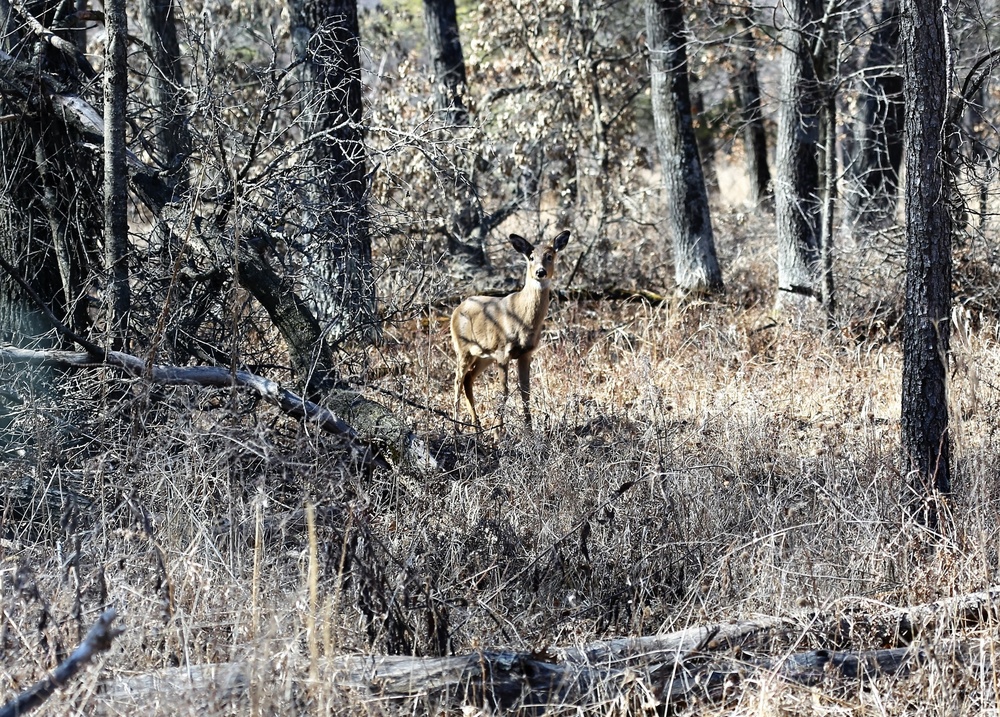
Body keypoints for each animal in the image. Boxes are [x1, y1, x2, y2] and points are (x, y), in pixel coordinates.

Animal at [448, 229, 568, 430]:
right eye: (531, 257)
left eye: (550, 256)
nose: (540, 272)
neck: (522, 319)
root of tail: (456, 310)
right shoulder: (503, 351)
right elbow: (503, 392)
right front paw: (499, 433)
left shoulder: (526, 353)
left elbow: (526, 392)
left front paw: (529, 431)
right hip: (463, 348)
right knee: (457, 380)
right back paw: (456, 428)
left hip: (484, 355)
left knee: (468, 379)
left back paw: (477, 428)